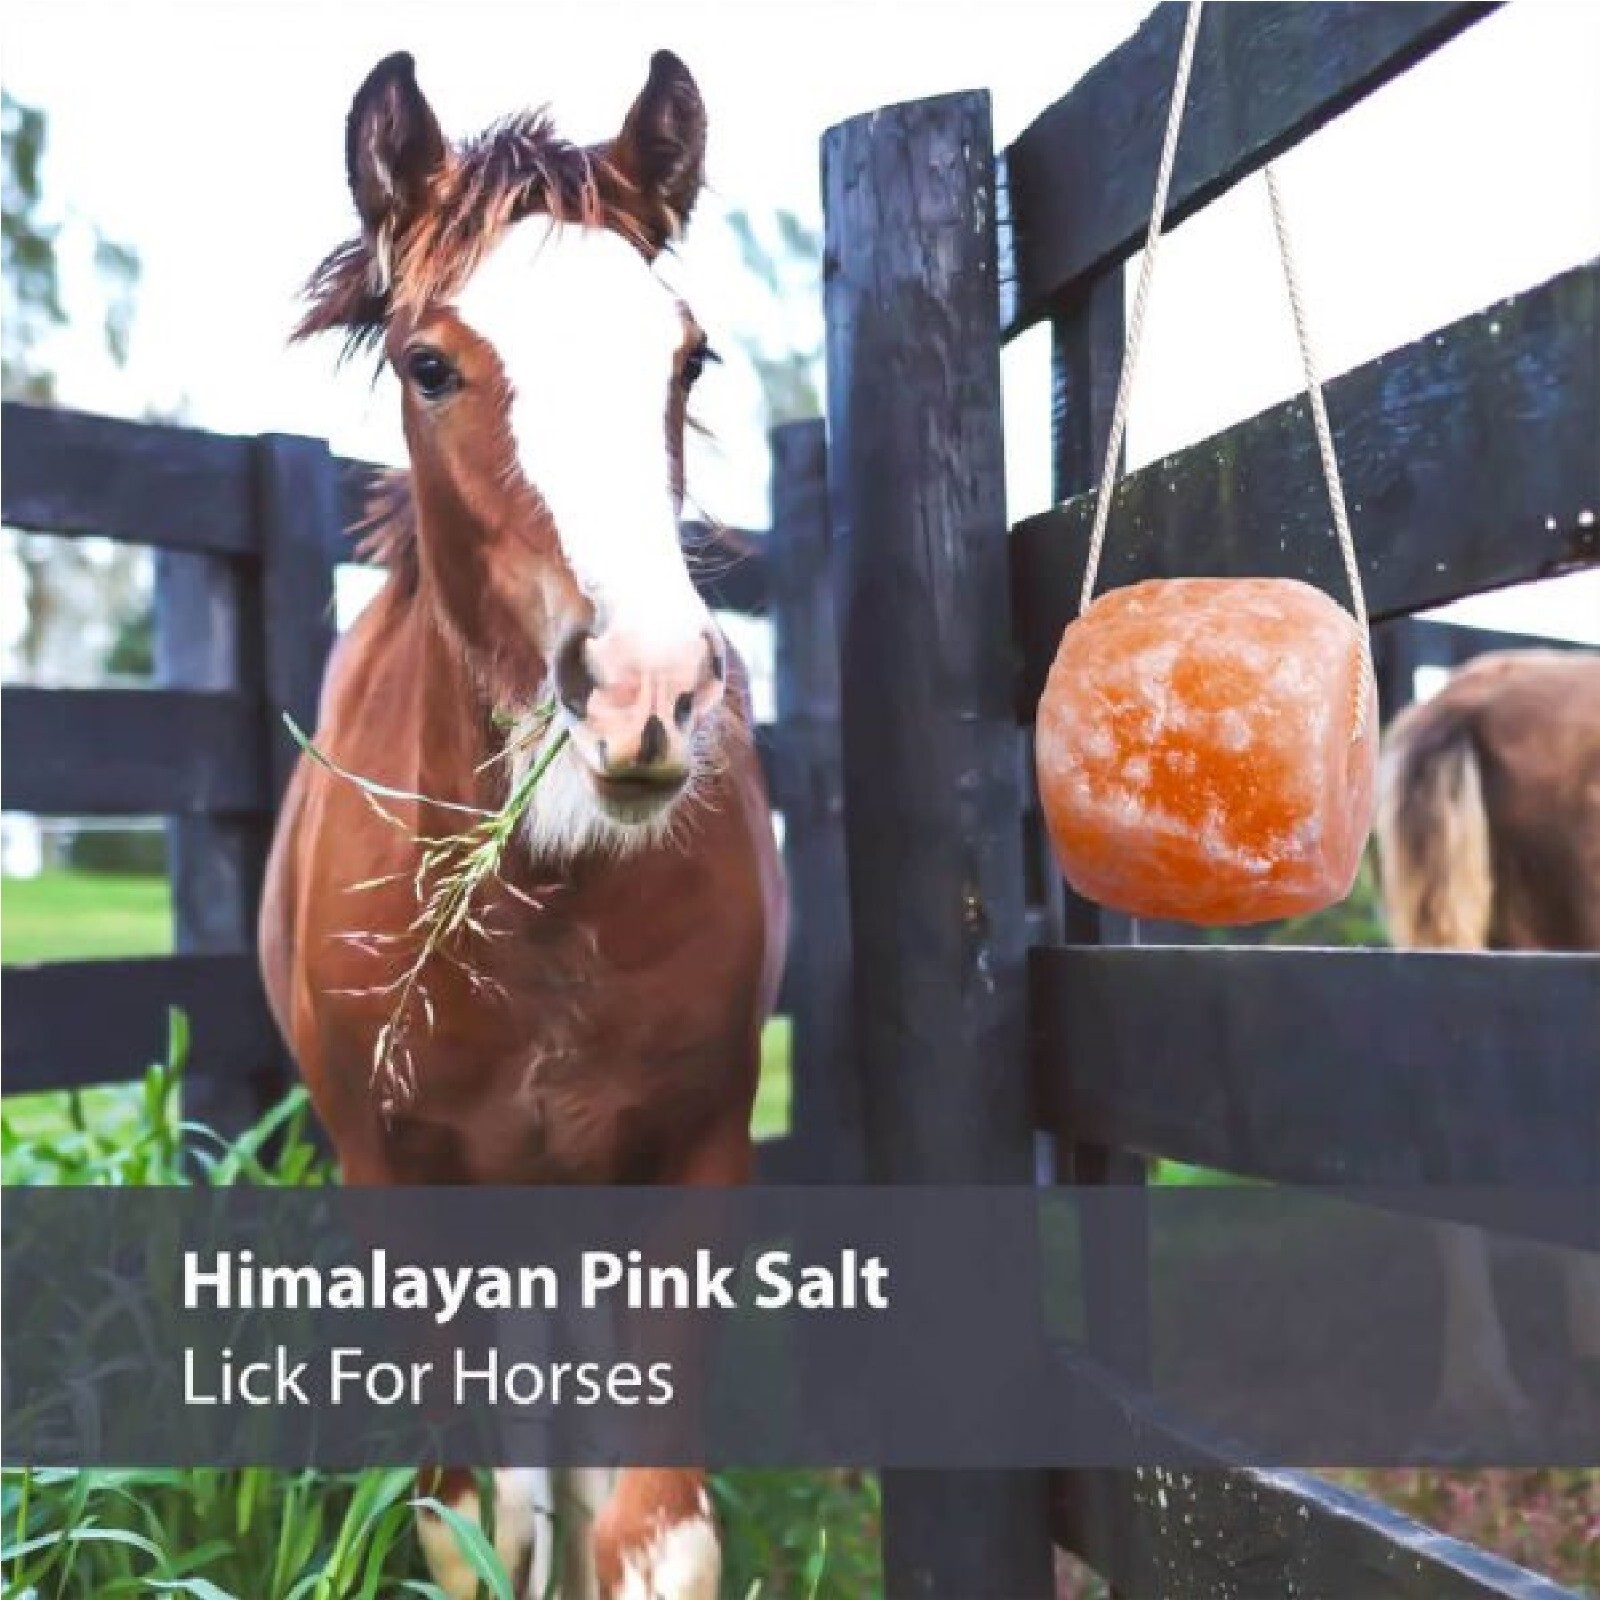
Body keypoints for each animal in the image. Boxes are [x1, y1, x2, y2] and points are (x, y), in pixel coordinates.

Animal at [259, 50, 785, 1599]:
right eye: (431, 365)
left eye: (688, 360)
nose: (646, 694)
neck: (547, 895)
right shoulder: (398, 1179)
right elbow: (469, 1519)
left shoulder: (691, 1150)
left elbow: (651, 1530)